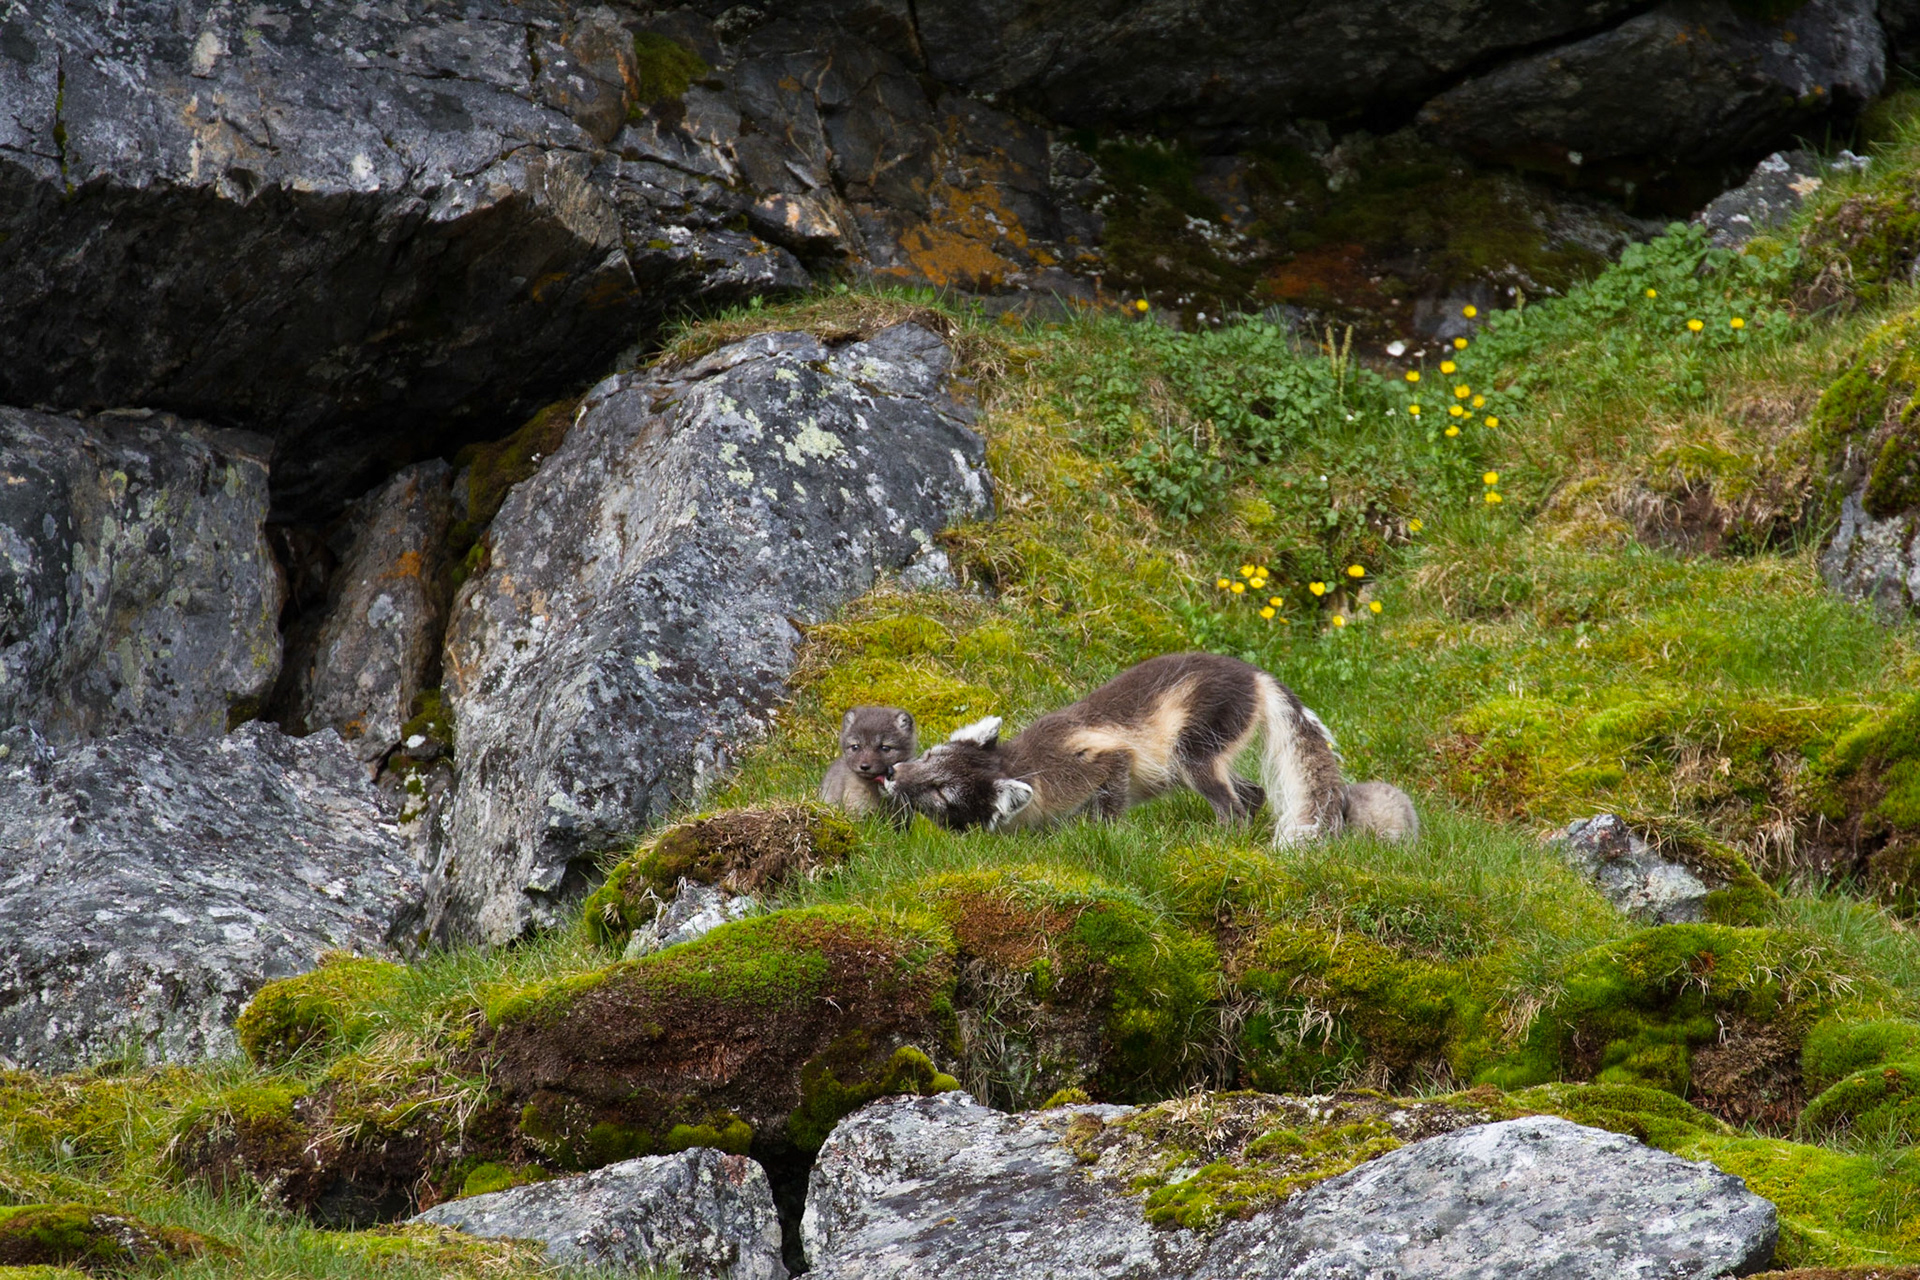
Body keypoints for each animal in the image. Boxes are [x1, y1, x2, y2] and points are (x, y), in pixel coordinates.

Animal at [879, 652, 1346, 846]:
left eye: (943, 794)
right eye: (928, 757)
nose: (890, 775)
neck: (1027, 764)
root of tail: (1258, 676)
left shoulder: (1105, 759)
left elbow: (1109, 801)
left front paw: (1104, 835)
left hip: (1194, 750)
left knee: (1231, 803)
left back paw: (1220, 840)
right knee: (1254, 793)